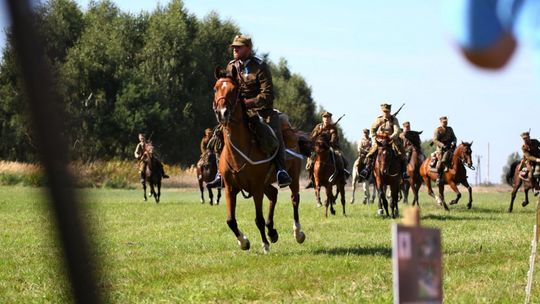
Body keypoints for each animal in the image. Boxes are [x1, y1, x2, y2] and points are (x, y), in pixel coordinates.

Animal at [215, 67, 308, 254]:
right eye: (215, 88)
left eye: (234, 90)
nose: (222, 113)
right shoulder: (230, 188)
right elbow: (230, 220)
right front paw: (243, 242)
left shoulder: (256, 188)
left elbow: (258, 218)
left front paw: (264, 245)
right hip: (266, 183)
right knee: (274, 195)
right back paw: (272, 231)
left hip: (292, 177)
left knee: (295, 199)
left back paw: (298, 233)